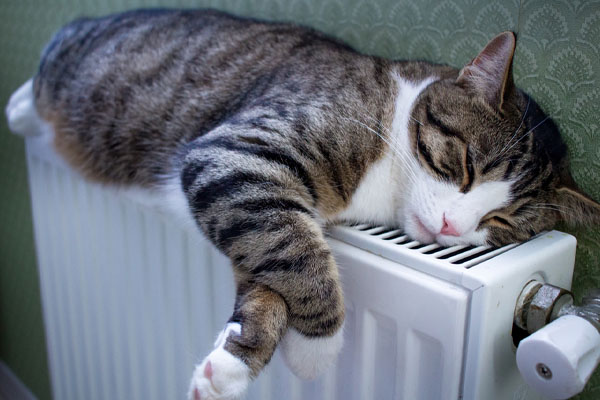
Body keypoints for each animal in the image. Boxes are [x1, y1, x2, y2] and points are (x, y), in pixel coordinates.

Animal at [4, 7, 600, 400]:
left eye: (501, 221)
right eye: (463, 164)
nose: (454, 226)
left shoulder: (255, 200)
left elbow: (271, 269)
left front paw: (233, 361)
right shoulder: (234, 156)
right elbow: (302, 258)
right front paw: (318, 352)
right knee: (37, 84)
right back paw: (21, 108)